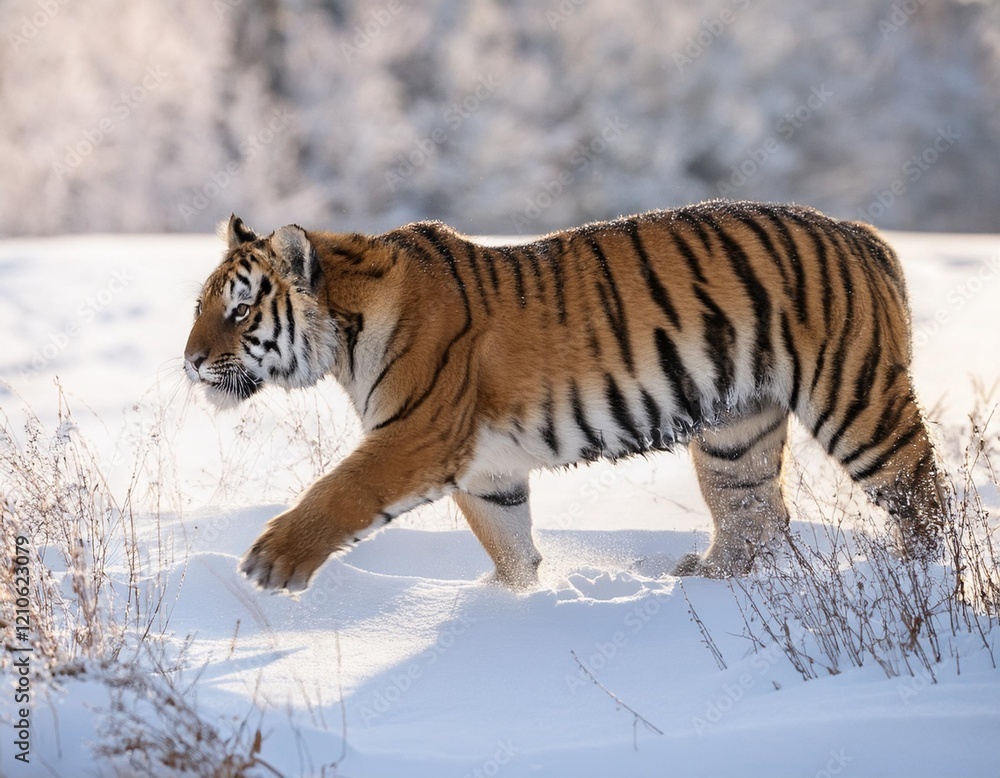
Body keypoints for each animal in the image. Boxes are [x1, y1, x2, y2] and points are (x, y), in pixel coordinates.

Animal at [183, 200, 945, 592]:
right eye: (202, 306)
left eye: (241, 312)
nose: (189, 363)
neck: (344, 337)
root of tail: (863, 234)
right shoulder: (486, 468)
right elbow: (508, 540)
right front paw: (508, 602)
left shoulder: (415, 435)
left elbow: (339, 491)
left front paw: (271, 562)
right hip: (735, 433)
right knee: (756, 517)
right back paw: (706, 582)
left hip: (855, 400)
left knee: (921, 496)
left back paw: (914, 580)